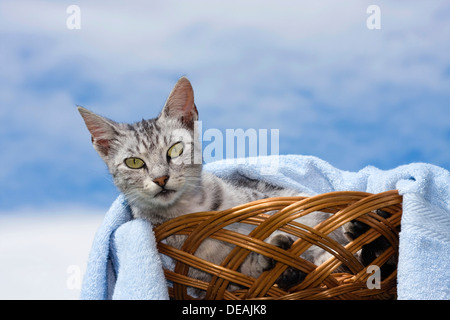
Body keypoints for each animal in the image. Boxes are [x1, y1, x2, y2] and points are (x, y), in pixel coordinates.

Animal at [78, 76, 362, 296]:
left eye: (175, 150)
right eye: (135, 162)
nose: (160, 179)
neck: (187, 211)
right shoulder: (200, 280)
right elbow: (240, 274)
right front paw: (274, 263)